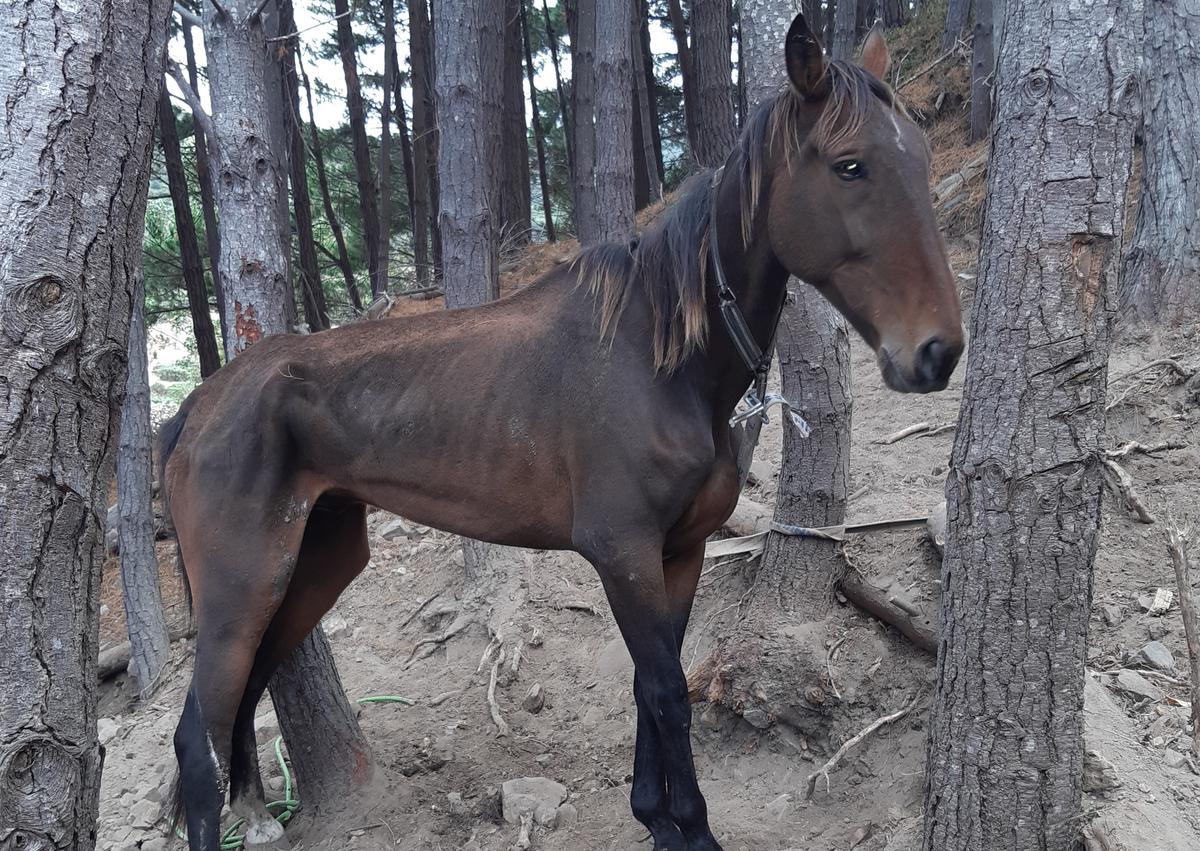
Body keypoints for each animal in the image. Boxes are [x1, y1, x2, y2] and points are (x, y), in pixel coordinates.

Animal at [159, 14, 962, 851]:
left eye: (919, 156)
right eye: (850, 165)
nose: (936, 350)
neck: (657, 356)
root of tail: (200, 405)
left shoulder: (680, 551)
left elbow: (652, 682)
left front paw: (655, 816)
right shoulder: (622, 552)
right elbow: (666, 691)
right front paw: (689, 828)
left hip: (314, 567)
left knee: (239, 703)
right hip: (243, 586)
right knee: (196, 739)